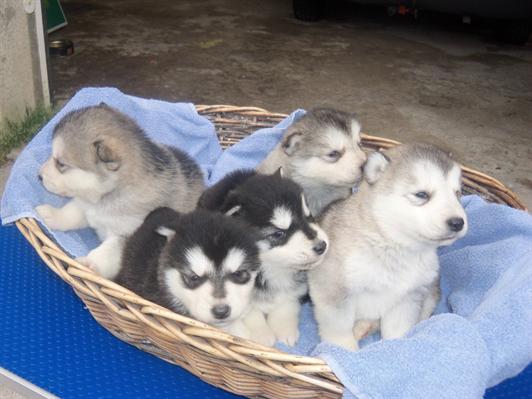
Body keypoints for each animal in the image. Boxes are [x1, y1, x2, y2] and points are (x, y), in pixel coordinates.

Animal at [35, 104, 205, 280]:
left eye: (60, 163)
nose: (39, 176)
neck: (107, 197)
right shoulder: (85, 204)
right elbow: (71, 212)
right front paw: (52, 215)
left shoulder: (127, 234)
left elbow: (109, 250)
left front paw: (89, 264)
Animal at [198, 169, 328, 346]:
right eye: (279, 234)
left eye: (309, 217)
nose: (322, 246)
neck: (271, 269)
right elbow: (251, 313)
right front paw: (261, 336)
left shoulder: (296, 289)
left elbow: (287, 303)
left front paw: (284, 329)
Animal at [310, 143, 468, 350]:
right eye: (421, 195)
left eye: (457, 194)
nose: (457, 222)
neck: (395, 246)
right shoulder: (333, 290)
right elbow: (339, 328)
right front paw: (344, 349)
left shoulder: (406, 298)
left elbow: (397, 329)